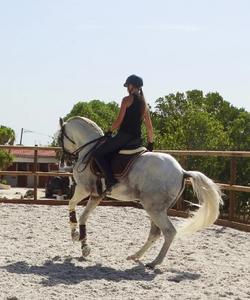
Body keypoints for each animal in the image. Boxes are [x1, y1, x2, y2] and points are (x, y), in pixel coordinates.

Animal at [59, 116, 224, 268]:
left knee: (169, 231)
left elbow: (71, 205)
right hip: (155, 209)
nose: (63, 160)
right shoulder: (96, 195)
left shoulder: (83, 189)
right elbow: (83, 217)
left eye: (60, 136)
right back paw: (136, 256)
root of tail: (182, 171)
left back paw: (155, 262)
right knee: (155, 233)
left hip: (154, 208)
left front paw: (75, 236)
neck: (90, 149)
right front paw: (83, 245)